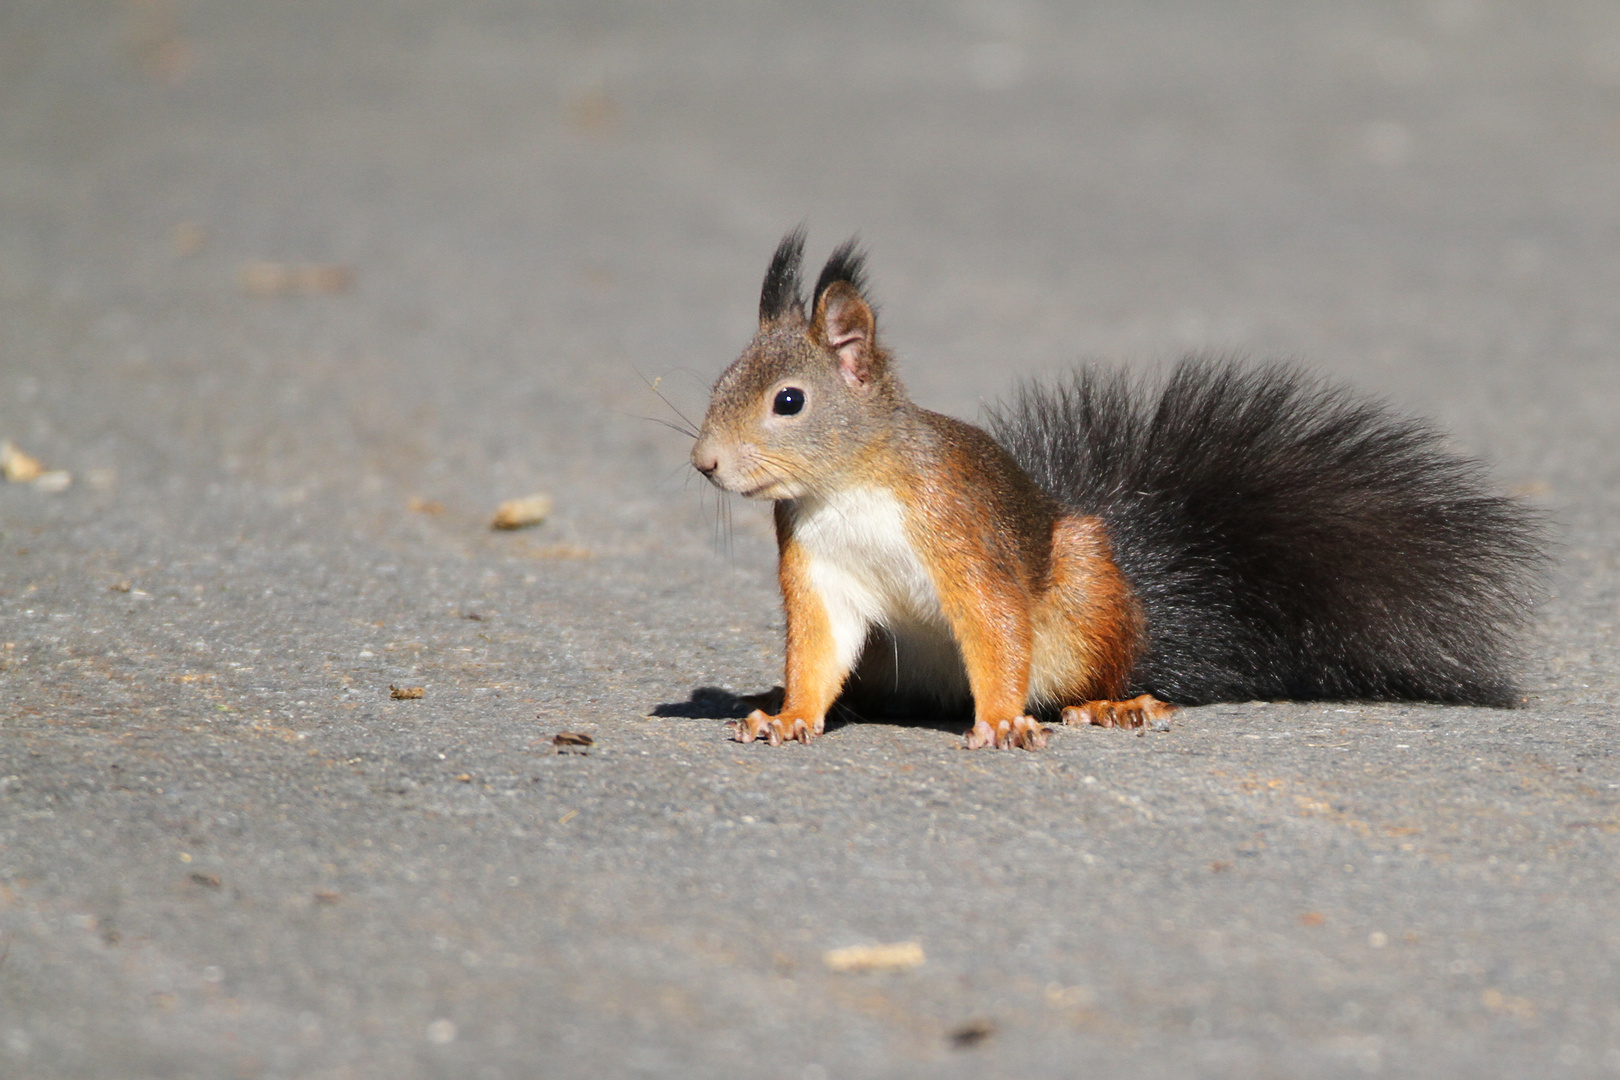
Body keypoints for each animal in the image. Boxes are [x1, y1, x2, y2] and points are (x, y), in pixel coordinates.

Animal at [686, 229, 1542, 751]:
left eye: (788, 401)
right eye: (722, 379)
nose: (704, 463)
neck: (851, 484)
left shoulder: (960, 530)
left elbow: (996, 624)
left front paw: (1002, 722)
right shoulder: (819, 569)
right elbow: (818, 647)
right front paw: (790, 715)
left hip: (1085, 601)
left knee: (1094, 669)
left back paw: (1115, 703)